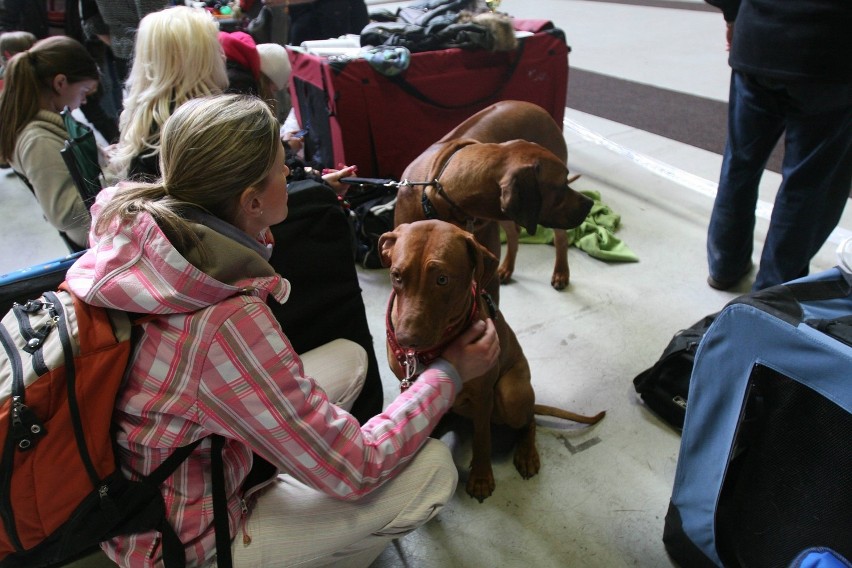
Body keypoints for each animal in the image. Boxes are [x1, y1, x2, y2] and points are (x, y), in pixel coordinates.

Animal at [380, 219, 604, 502]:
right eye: (397, 276)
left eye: (442, 279)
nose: (406, 340)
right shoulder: (407, 385)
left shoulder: (483, 395)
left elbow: (482, 438)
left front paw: (481, 477)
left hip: (511, 394)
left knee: (529, 420)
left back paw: (527, 453)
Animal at [392, 99, 592, 304]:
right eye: (561, 185)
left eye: (566, 180)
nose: (590, 203)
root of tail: (538, 108)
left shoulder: (487, 272)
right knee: (514, 232)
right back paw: (508, 268)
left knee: (561, 238)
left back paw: (561, 272)